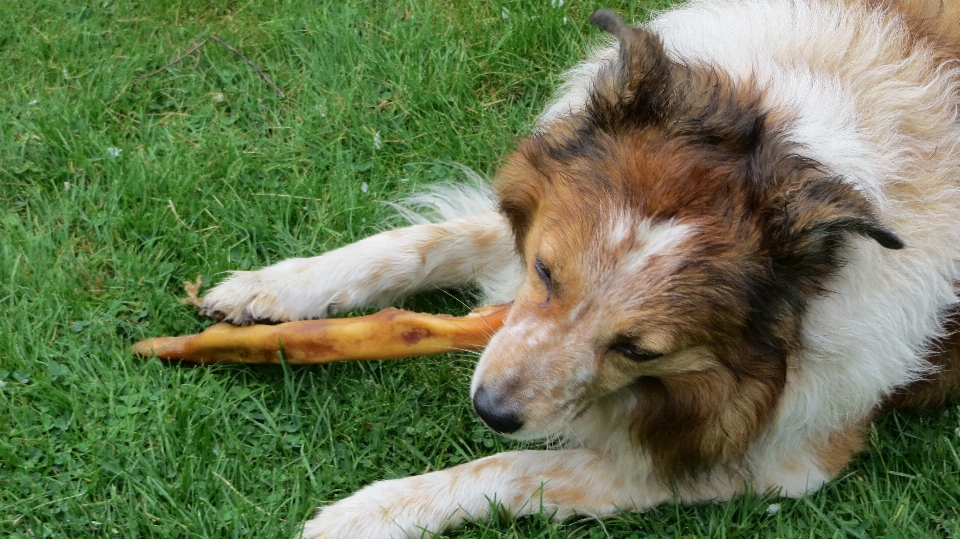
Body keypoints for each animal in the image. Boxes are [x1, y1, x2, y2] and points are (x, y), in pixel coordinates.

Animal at [195, 2, 960, 536]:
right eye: (545, 273)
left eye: (639, 350)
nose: (491, 409)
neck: (794, 139)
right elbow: (414, 242)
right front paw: (268, 290)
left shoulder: (780, 456)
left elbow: (518, 467)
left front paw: (369, 511)